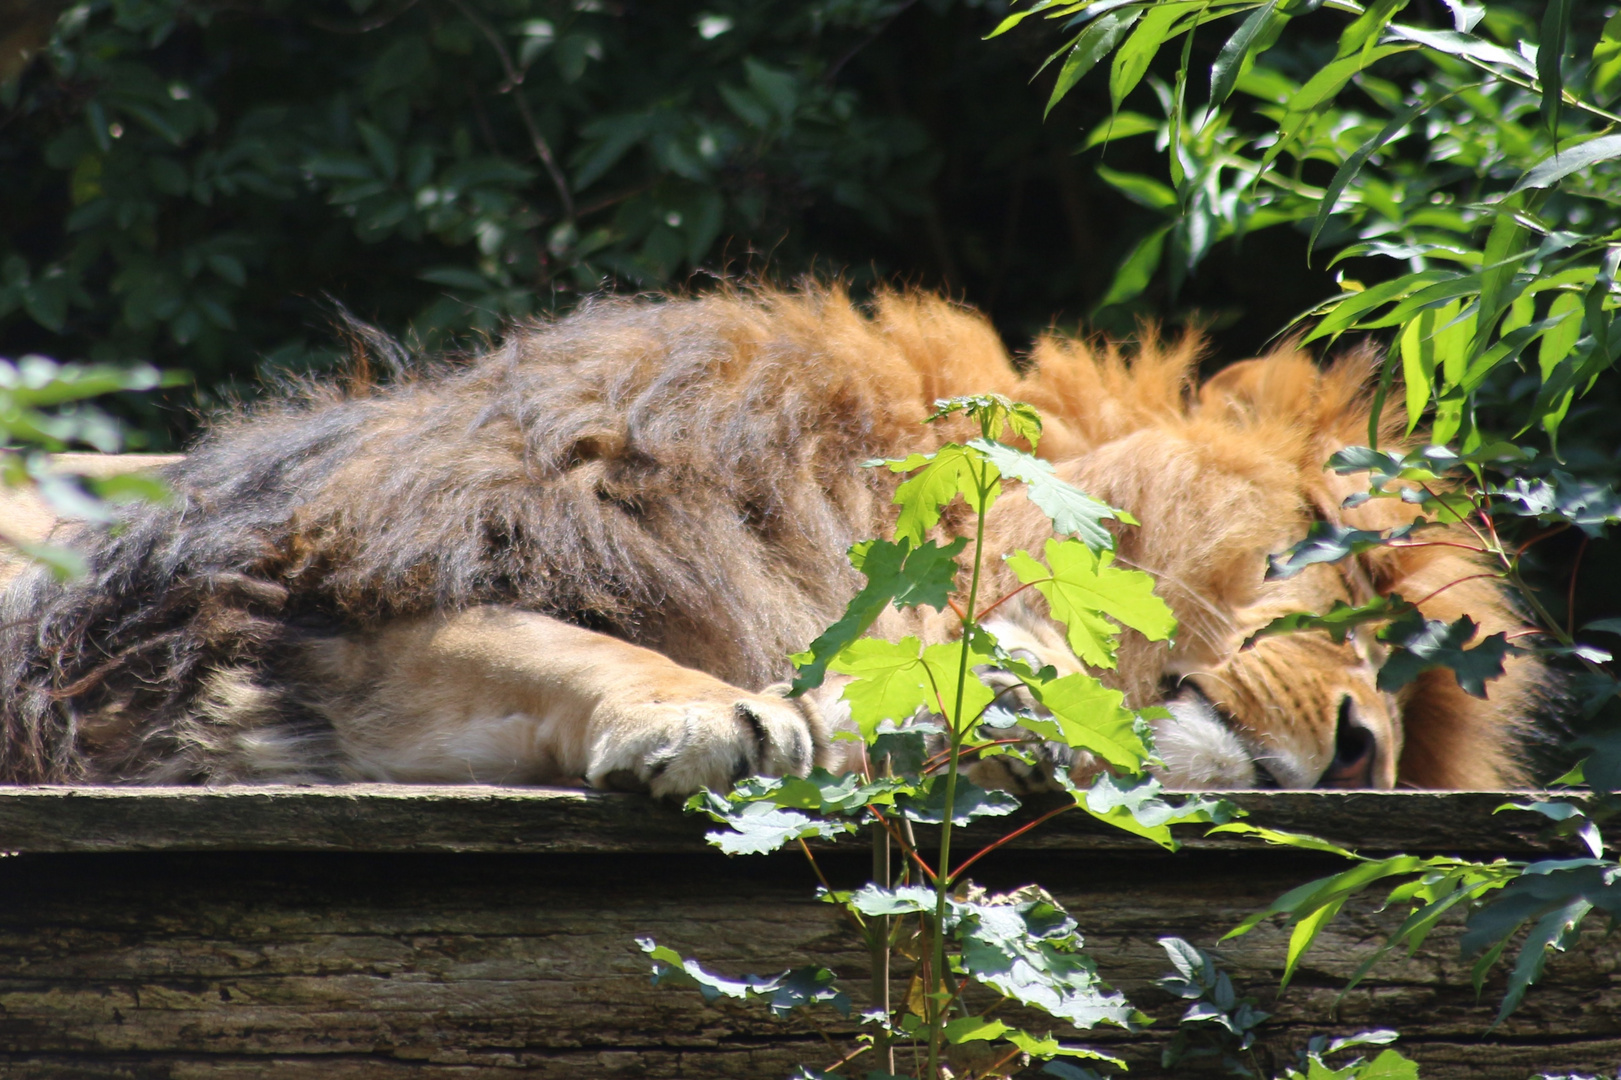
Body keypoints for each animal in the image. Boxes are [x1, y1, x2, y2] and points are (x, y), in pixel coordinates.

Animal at [0, 285, 1536, 791]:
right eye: (1328, 551)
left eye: (1411, 716)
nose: (1363, 750)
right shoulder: (304, 600)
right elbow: (543, 636)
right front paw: (724, 714)